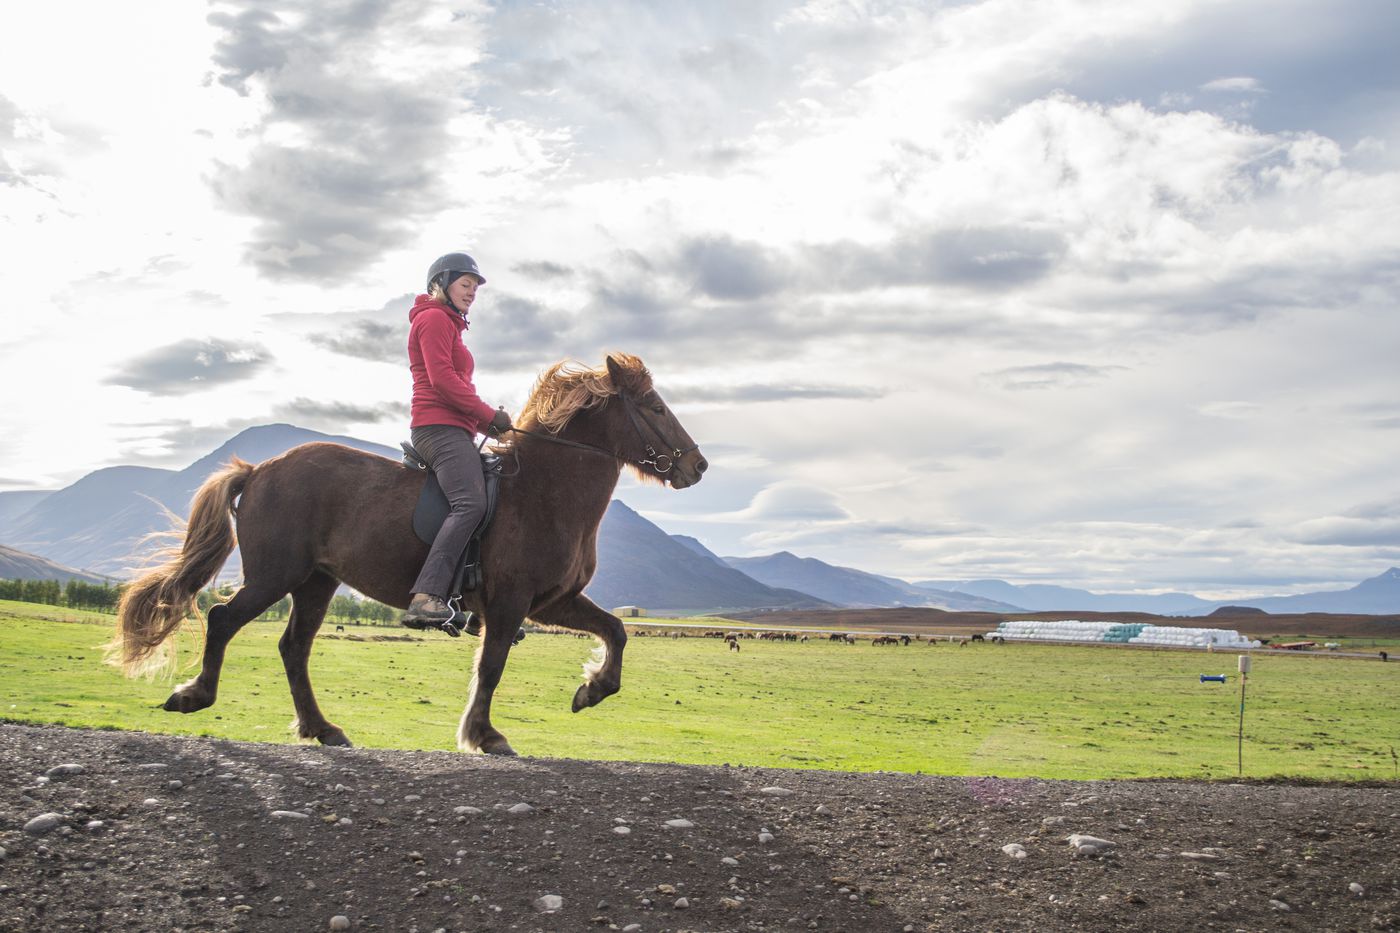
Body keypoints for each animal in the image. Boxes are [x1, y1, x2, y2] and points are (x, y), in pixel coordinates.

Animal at [109, 353, 705, 750]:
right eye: (654, 407)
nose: (697, 466)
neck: (543, 491)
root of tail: (258, 471)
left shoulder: (551, 602)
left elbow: (617, 630)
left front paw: (592, 690)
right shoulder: (511, 602)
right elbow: (491, 668)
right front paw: (484, 736)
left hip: (316, 582)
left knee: (293, 648)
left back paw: (322, 729)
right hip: (276, 576)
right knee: (223, 619)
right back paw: (196, 695)